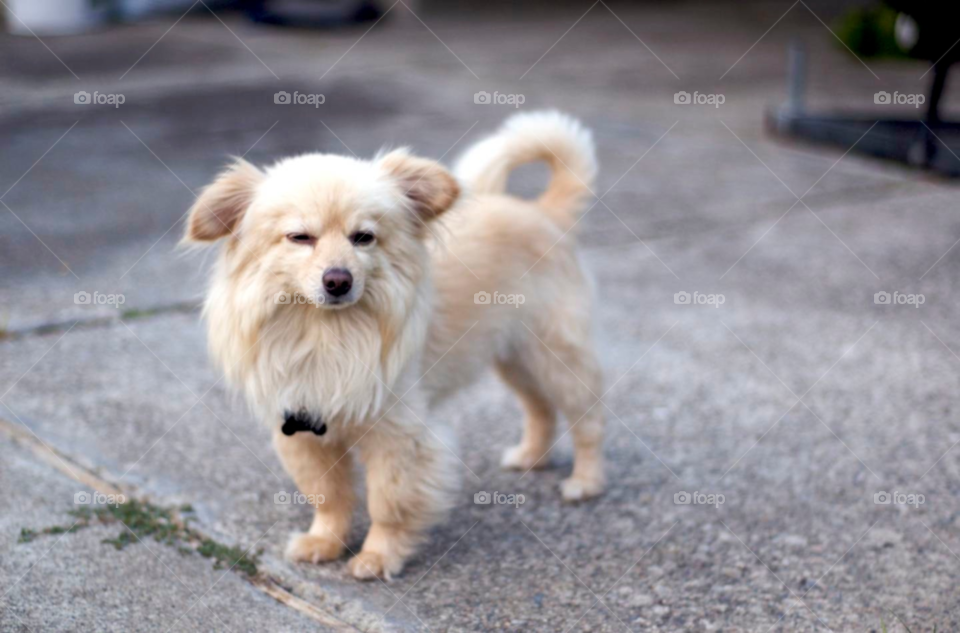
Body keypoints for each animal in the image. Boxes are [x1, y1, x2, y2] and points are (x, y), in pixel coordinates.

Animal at [186, 112, 608, 576]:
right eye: (299, 237)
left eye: (363, 238)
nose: (338, 280)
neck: (325, 332)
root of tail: (542, 211)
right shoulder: (303, 429)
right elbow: (329, 496)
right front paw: (324, 542)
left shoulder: (398, 435)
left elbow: (388, 502)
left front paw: (377, 557)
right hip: (513, 357)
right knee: (539, 407)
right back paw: (531, 456)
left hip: (554, 355)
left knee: (587, 419)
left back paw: (585, 482)